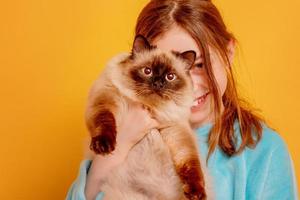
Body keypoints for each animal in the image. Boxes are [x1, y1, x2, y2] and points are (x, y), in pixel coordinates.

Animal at [83, 35, 212, 199]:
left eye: (170, 77)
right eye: (147, 71)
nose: (158, 83)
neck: (150, 107)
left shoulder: (176, 131)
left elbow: (191, 164)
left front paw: (196, 193)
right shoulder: (106, 99)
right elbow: (105, 121)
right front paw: (104, 146)